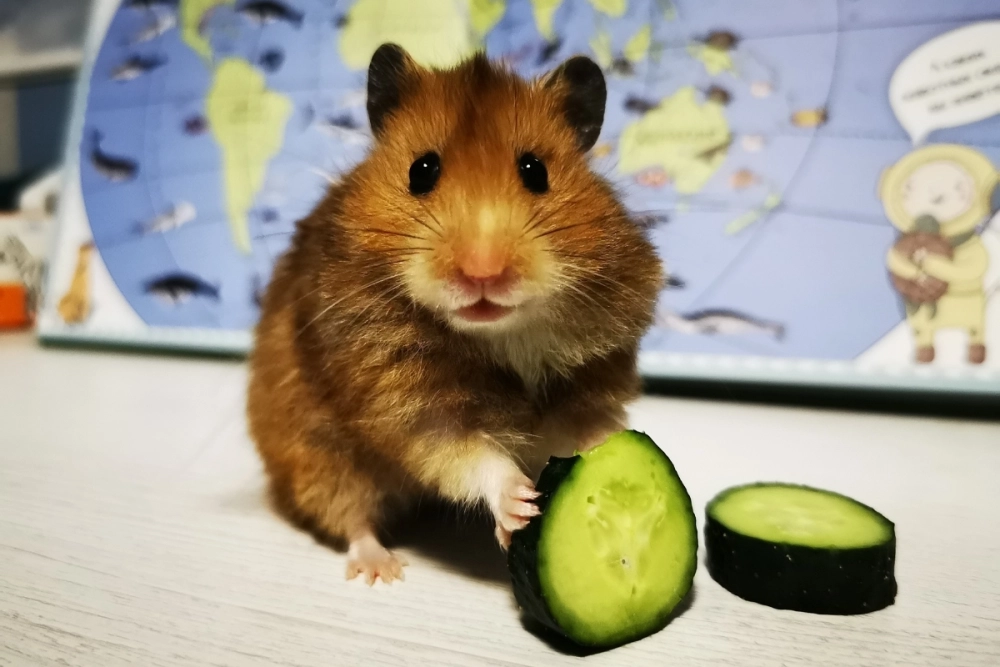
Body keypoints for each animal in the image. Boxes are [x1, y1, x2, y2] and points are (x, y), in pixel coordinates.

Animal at [247, 44, 663, 585]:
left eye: (535, 170)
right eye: (421, 170)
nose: (482, 273)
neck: (503, 336)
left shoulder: (591, 378)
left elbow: (590, 428)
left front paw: (623, 451)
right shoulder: (410, 407)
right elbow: (471, 456)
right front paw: (520, 507)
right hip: (319, 460)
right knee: (350, 517)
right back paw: (383, 570)